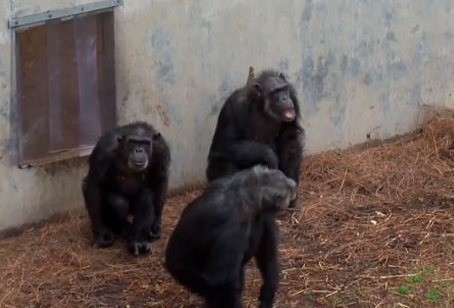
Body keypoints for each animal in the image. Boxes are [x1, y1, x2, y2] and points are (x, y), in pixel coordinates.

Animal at [81, 121, 170, 256]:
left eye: (145, 143)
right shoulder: (103, 152)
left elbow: (160, 180)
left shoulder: (161, 150)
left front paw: (156, 225)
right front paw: (101, 235)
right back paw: (124, 229)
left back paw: (138, 241)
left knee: (146, 197)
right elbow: (94, 185)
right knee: (119, 203)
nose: (139, 150)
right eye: (132, 142)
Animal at [164, 166, 298, 308]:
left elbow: (265, 247)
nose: (294, 184)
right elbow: (222, 283)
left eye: (282, 175)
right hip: (184, 273)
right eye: (289, 189)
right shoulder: (232, 231)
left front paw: (268, 292)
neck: (244, 196)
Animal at [206, 68, 306, 206]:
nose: (285, 98)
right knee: (225, 161)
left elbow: (289, 138)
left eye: (283, 89)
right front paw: (270, 157)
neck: (262, 106)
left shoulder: (293, 99)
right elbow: (226, 143)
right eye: (274, 92)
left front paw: (293, 194)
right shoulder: (233, 107)